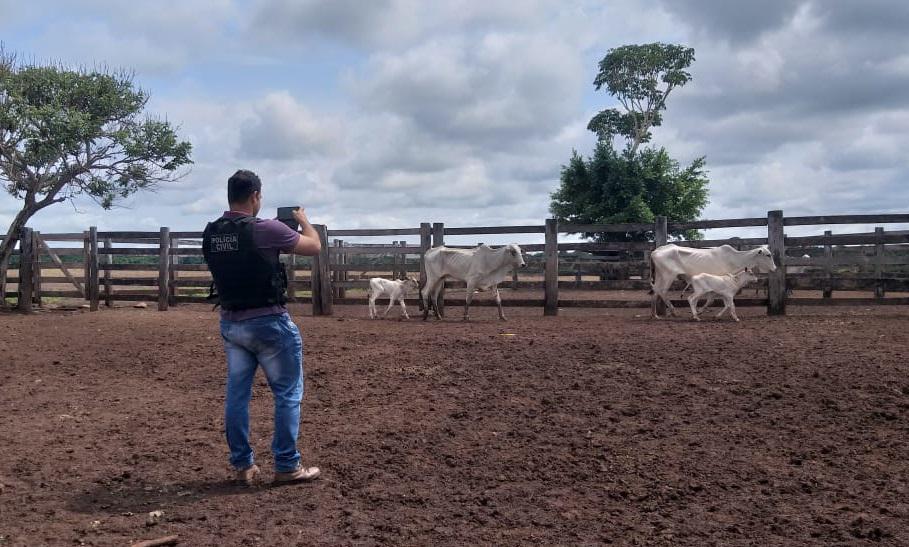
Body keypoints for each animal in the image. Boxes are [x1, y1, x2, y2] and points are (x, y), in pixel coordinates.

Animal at [648, 246, 776, 318]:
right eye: (768, 255)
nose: (774, 268)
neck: (735, 259)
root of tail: (655, 251)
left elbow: (710, 300)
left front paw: (698, 311)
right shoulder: (718, 284)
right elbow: (713, 300)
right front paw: (699, 312)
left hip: (660, 275)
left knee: (655, 290)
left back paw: (654, 314)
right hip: (668, 275)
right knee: (662, 291)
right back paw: (672, 311)